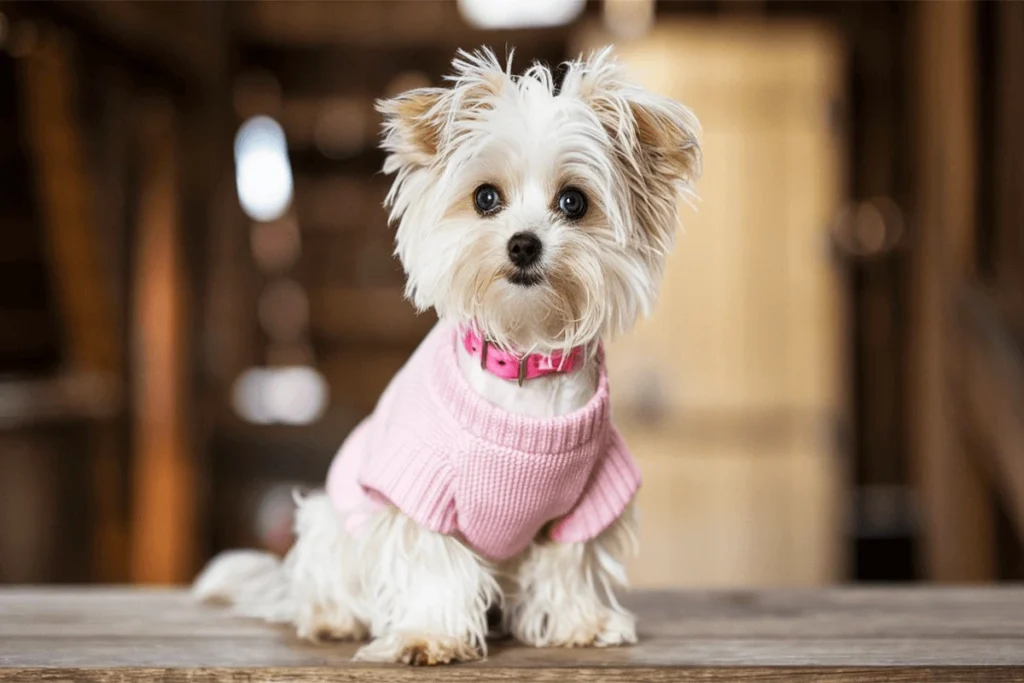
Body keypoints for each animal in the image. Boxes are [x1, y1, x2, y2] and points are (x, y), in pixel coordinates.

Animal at [195, 46, 700, 667]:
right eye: (486, 197)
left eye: (573, 202)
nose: (524, 243)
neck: (522, 366)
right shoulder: (421, 491)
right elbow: (434, 566)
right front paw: (428, 636)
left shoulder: (589, 500)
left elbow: (569, 565)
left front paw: (579, 622)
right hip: (329, 523)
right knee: (324, 588)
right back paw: (331, 618)